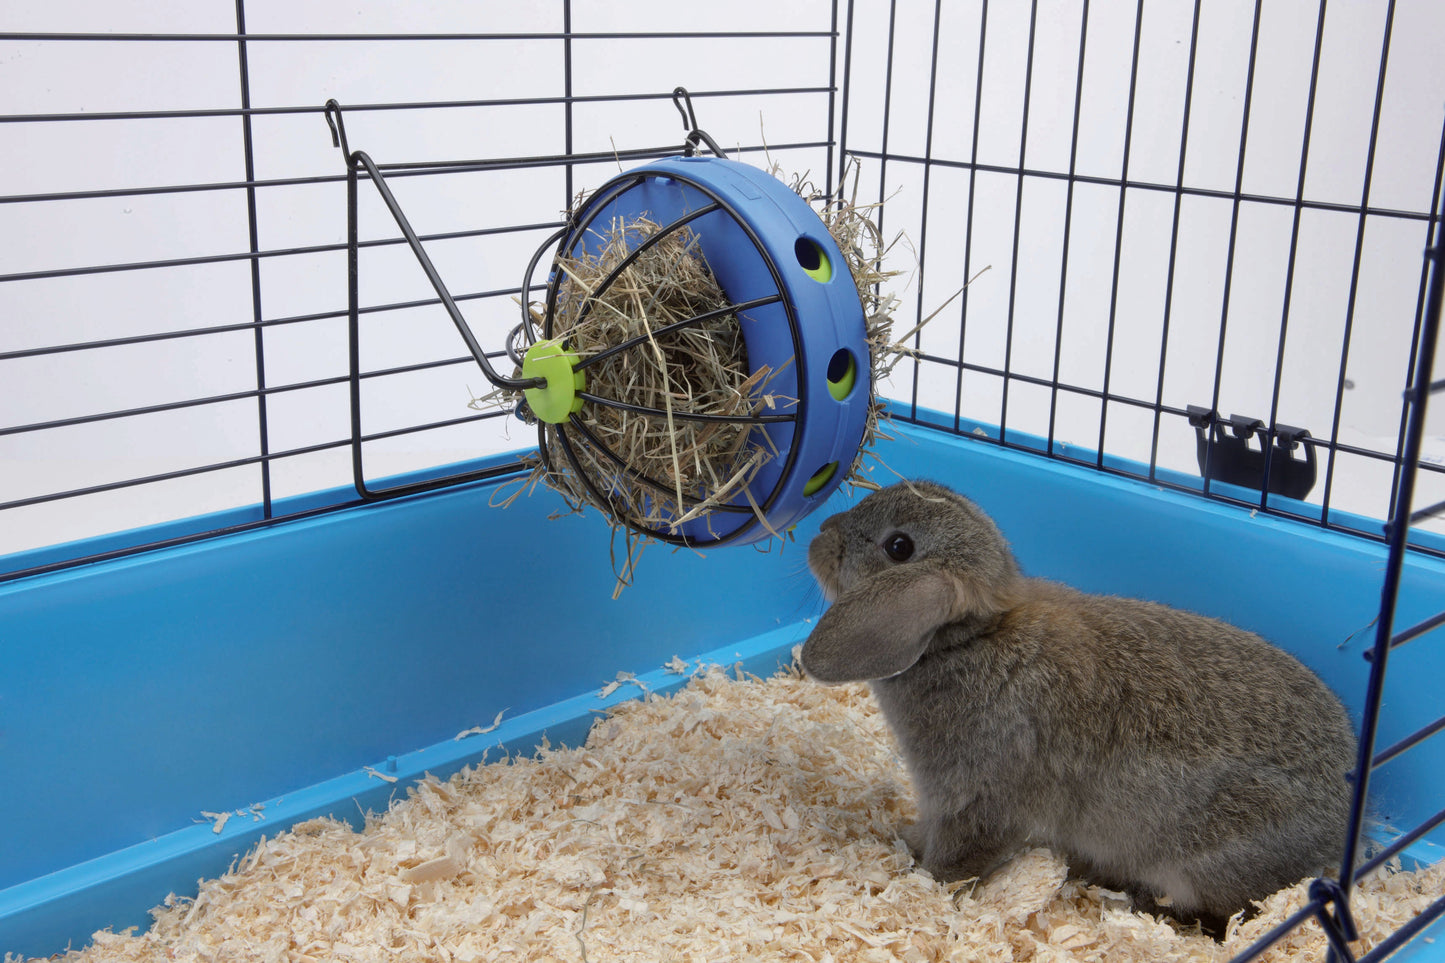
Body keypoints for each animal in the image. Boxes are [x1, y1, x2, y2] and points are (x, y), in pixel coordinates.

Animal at [800, 479, 1358, 935]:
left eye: (899, 547)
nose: (821, 534)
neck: (969, 639)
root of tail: (1339, 825)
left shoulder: (980, 801)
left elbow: (959, 858)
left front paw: (924, 881)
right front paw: (905, 841)